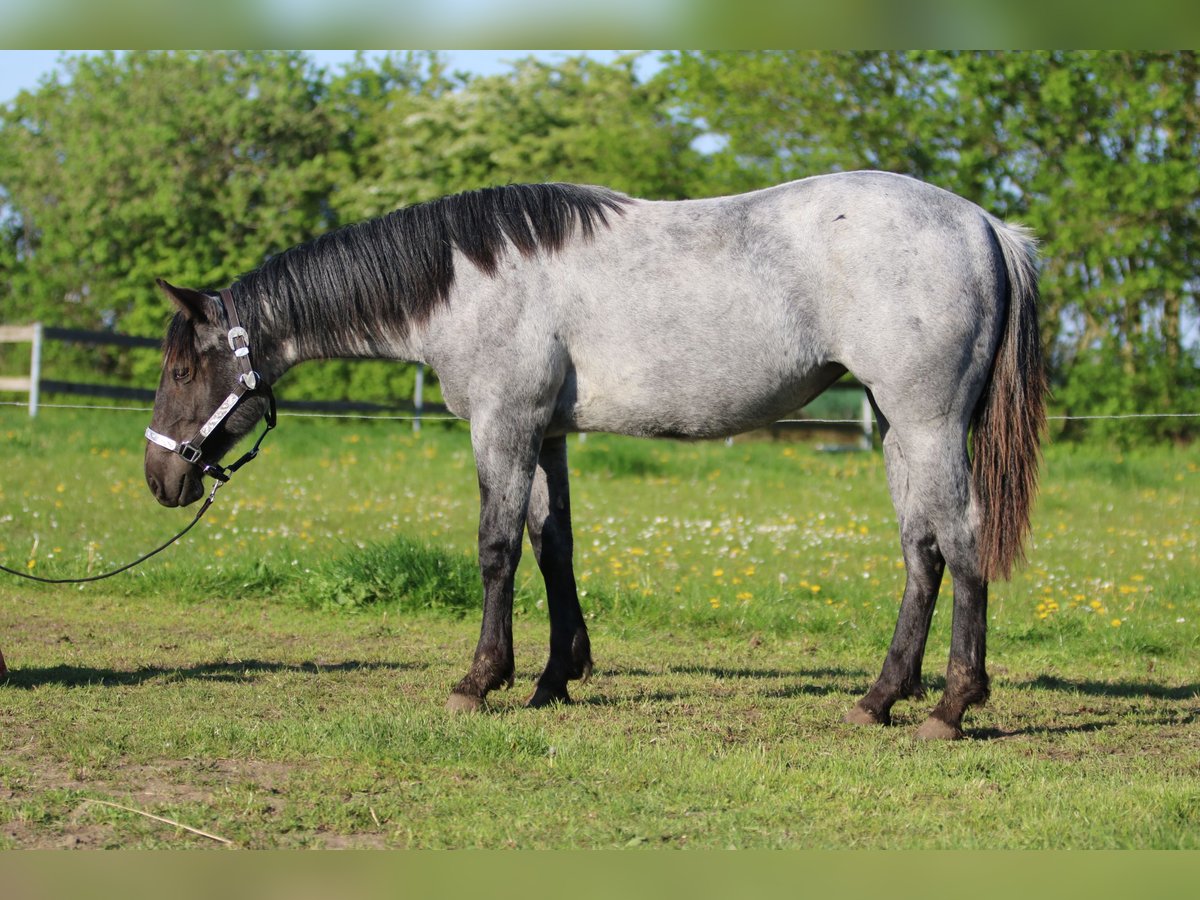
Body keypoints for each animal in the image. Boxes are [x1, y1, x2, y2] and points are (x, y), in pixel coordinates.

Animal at [142, 172, 1041, 744]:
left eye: (183, 371)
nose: (161, 478)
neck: (468, 280)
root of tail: (985, 226)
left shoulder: (503, 426)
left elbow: (496, 549)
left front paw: (481, 681)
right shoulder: (546, 434)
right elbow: (553, 547)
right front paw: (554, 677)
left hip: (927, 422)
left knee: (961, 543)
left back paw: (950, 709)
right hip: (897, 428)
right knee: (922, 552)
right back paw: (880, 699)